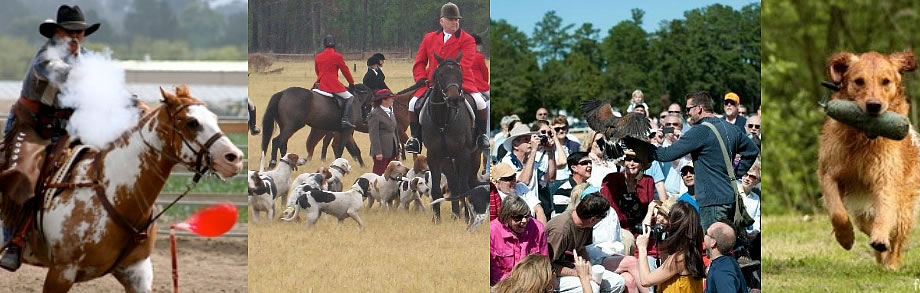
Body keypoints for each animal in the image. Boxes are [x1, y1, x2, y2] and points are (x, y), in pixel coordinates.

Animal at [420, 52, 478, 222]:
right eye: (441, 74)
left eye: (460, 74)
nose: (454, 99)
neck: (442, 121)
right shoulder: (434, 156)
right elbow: (436, 190)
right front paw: (436, 219)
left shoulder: (463, 154)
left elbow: (465, 188)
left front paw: (468, 218)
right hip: (447, 160)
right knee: (454, 184)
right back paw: (455, 214)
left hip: (473, 156)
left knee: (468, 183)